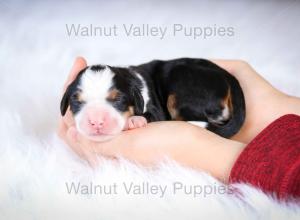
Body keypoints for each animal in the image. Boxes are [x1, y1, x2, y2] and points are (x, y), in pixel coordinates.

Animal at [59, 57, 245, 142]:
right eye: (77, 102)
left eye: (118, 100)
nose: (96, 121)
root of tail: (229, 78)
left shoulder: (156, 111)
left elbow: (151, 115)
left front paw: (134, 121)